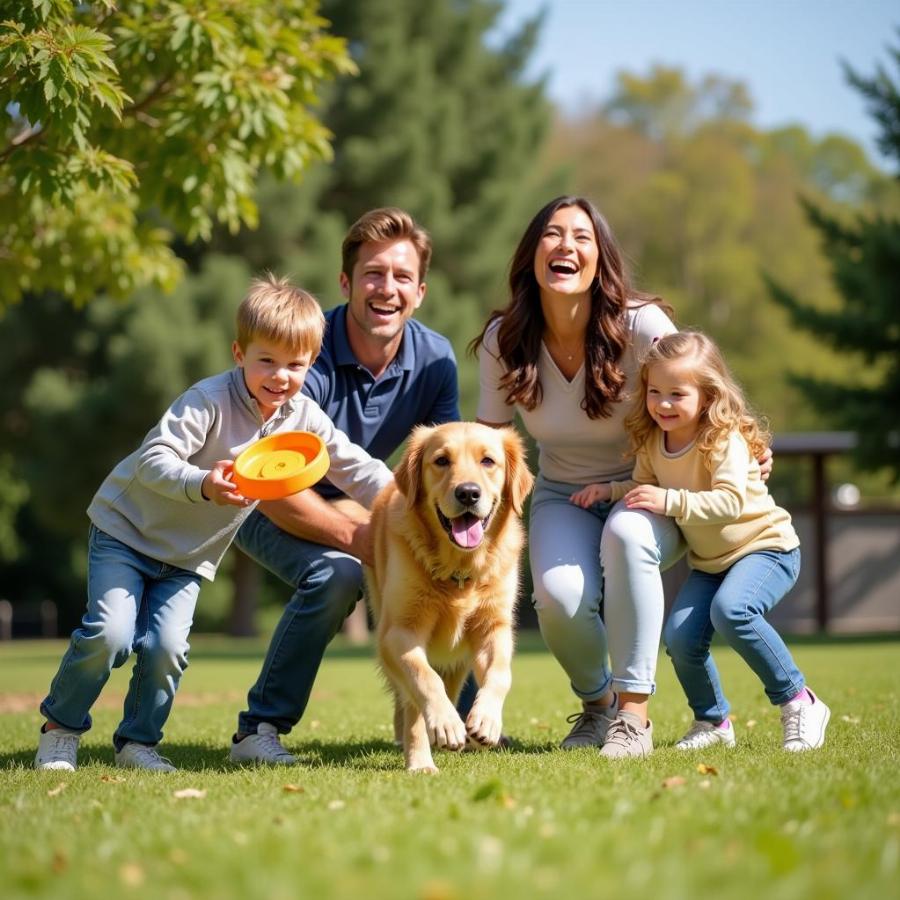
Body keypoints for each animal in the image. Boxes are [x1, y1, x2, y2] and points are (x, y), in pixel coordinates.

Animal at [366, 422, 536, 772]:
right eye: (442, 460)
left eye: (488, 461)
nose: (468, 493)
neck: (459, 570)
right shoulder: (399, 632)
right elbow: (424, 679)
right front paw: (445, 724)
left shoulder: (494, 628)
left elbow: (500, 674)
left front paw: (485, 720)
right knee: (412, 701)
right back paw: (421, 759)